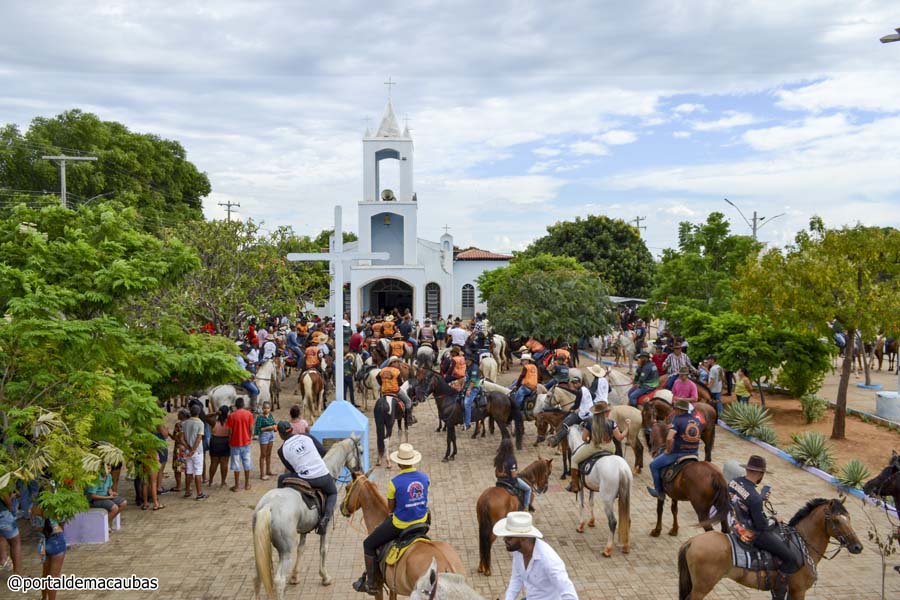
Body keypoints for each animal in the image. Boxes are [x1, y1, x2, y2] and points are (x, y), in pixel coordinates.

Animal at [250, 436, 362, 600]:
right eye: (361, 451)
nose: (359, 472)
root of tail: (269, 506)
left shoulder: (303, 529)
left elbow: (301, 549)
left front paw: (295, 576)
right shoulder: (326, 526)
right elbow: (323, 549)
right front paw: (325, 577)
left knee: (257, 577)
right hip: (286, 551)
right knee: (279, 580)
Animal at [568, 422, 632, 556]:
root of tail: (621, 468)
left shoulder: (580, 486)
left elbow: (581, 504)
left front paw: (580, 526)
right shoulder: (591, 486)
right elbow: (591, 502)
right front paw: (591, 521)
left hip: (607, 500)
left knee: (612, 522)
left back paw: (607, 549)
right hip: (625, 497)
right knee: (627, 520)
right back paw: (625, 546)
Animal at [676, 496, 864, 600]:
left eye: (849, 518)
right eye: (837, 520)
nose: (857, 547)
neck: (803, 546)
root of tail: (692, 541)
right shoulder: (798, 591)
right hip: (702, 587)